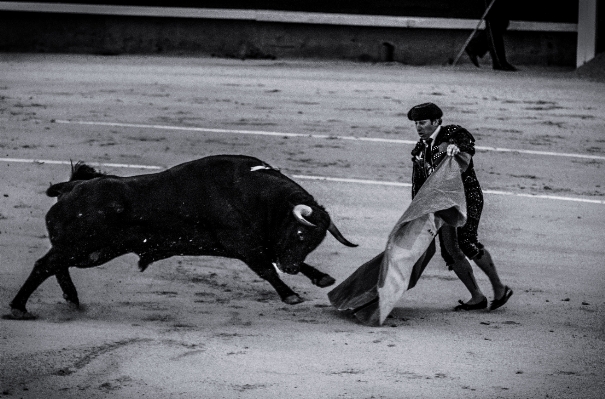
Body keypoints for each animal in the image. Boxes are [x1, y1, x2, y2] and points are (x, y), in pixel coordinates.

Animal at [7, 155, 356, 320]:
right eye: (299, 233)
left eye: (314, 241)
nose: (293, 267)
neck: (255, 194)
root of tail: (71, 188)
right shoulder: (244, 245)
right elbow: (267, 269)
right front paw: (291, 294)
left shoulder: (263, 244)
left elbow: (274, 262)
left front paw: (320, 277)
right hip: (83, 246)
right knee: (44, 265)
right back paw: (20, 307)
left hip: (92, 251)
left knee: (56, 266)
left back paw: (72, 300)